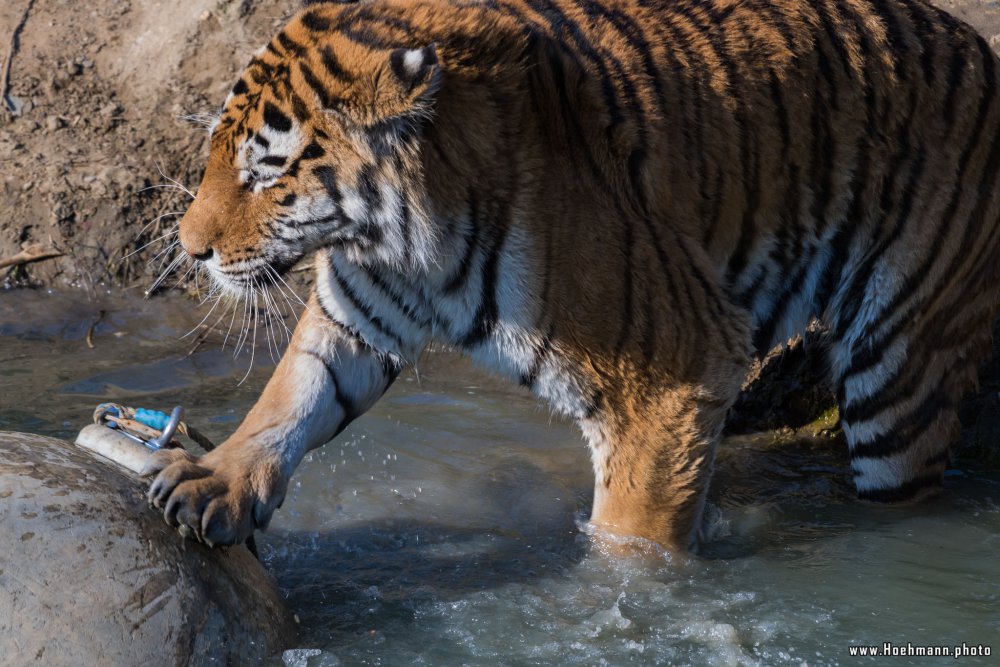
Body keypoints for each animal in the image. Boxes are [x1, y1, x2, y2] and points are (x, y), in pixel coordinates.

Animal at [145, 0, 1000, 552]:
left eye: (266, 170)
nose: (190, 250)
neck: (404, 237)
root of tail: (978, 46)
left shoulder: (672, 374)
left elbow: (631, 545)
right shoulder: (362, 308)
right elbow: (291, 395)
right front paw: (213, 479)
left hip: (899, 366)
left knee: (910, 489)